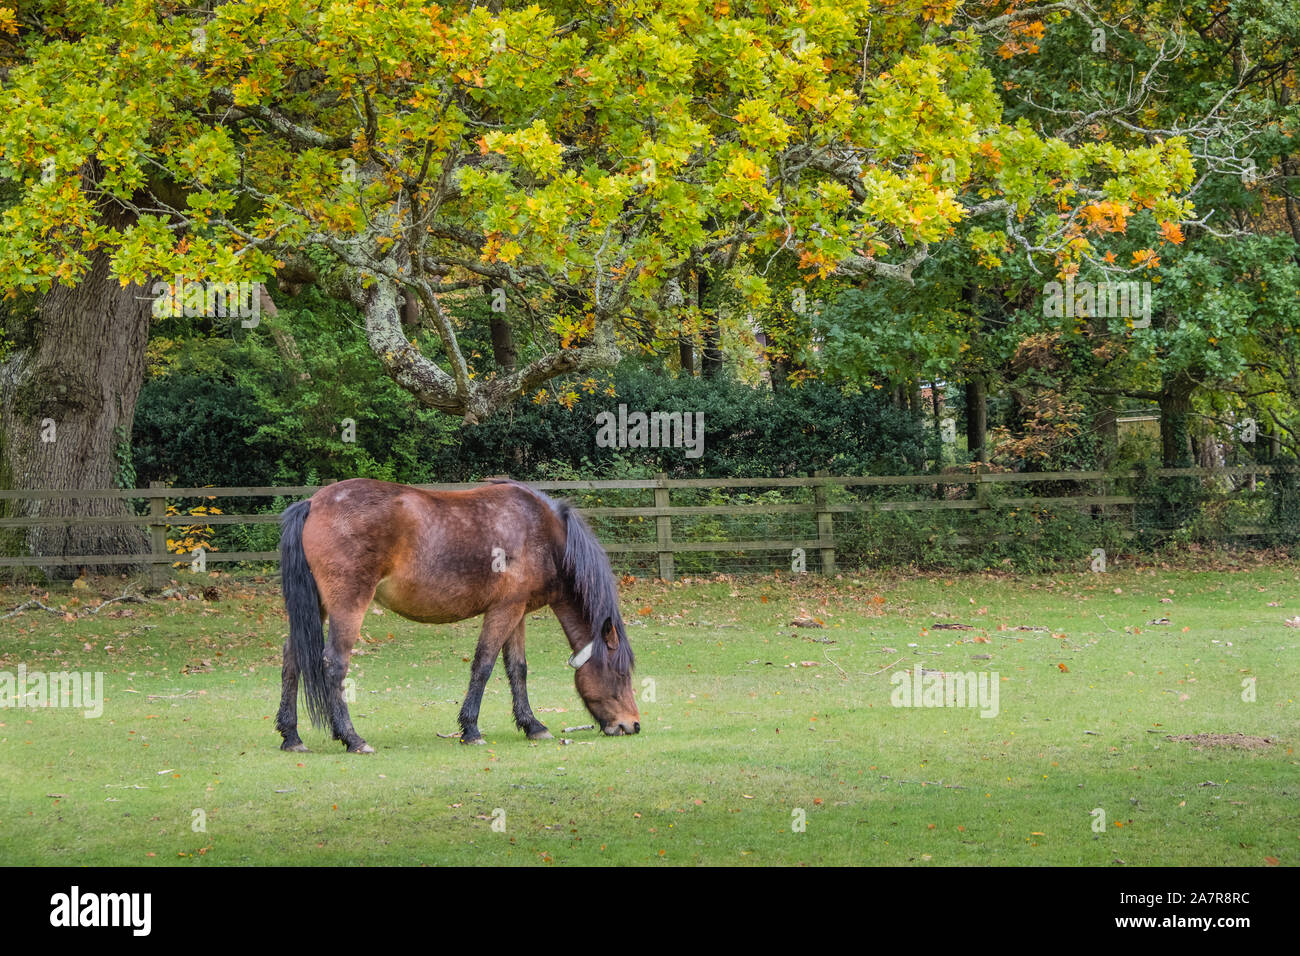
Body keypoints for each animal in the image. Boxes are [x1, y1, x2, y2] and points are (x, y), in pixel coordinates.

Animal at [275, 481, 639, 749]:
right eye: (621, 674)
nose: (632, 724)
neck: (541, 531)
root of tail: (313, 503)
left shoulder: (517, 611)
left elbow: (517, 669)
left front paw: (532, 725)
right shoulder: (503, 610)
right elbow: (484, 666)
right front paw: (471, 729)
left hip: (318, 606)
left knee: (292, 657)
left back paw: (292, 736)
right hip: (348, 605)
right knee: (334, 663)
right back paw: (352, 738)